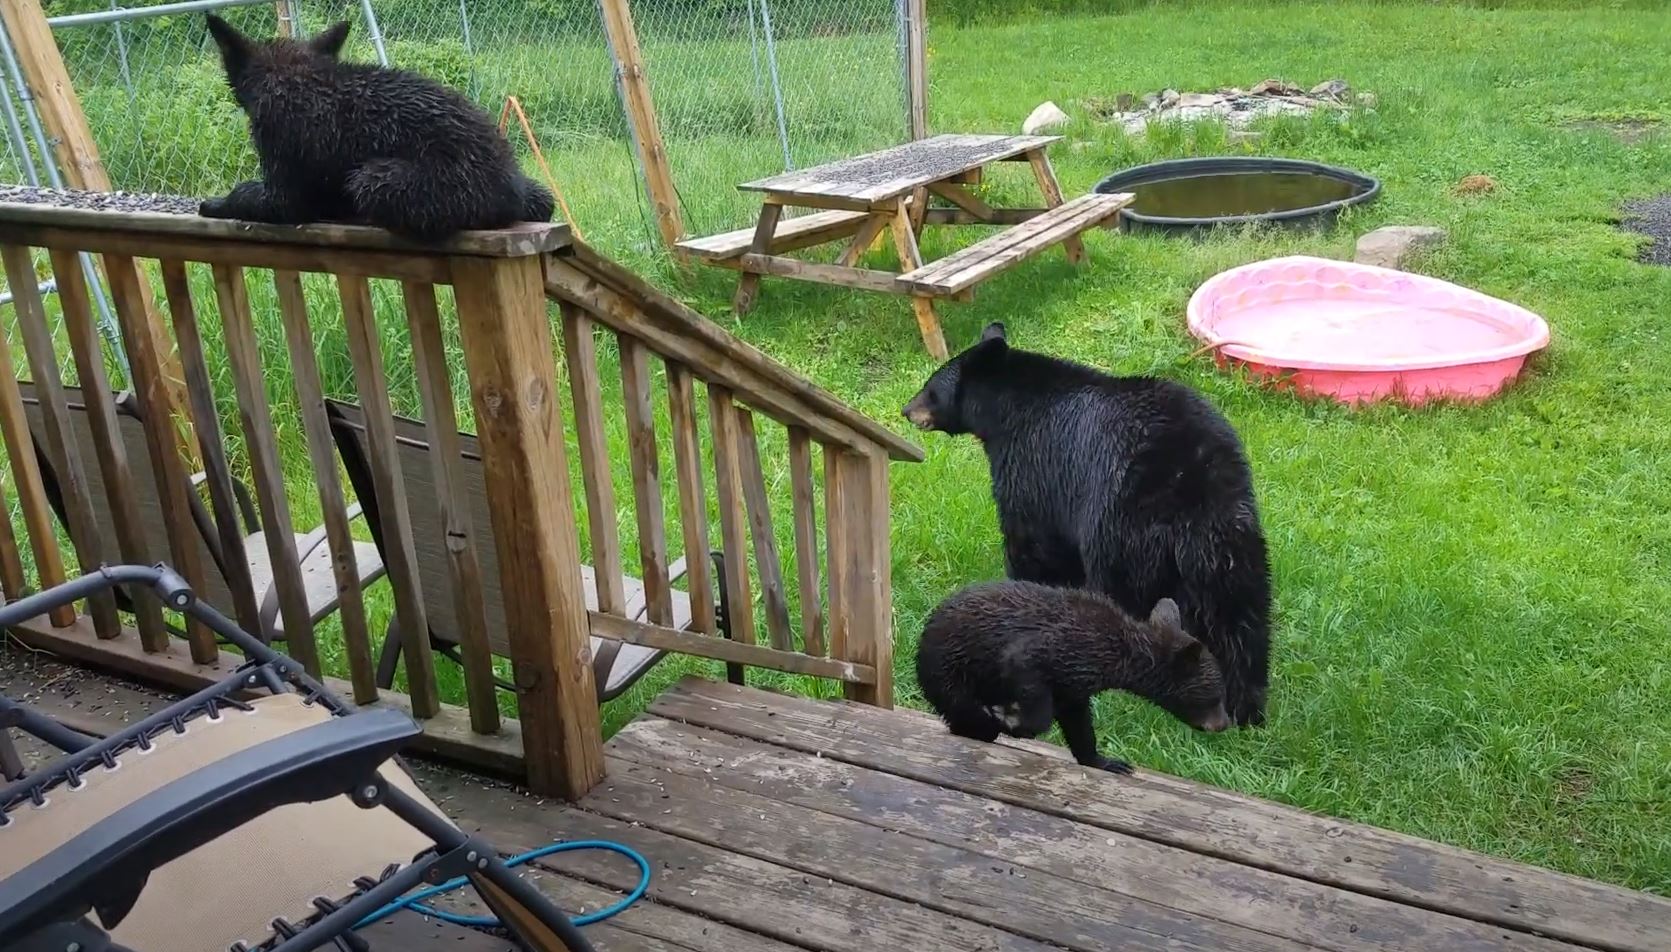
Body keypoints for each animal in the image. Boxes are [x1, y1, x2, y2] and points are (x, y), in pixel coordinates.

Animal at [198, 15, 554, 241]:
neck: (297, 78)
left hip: (371, 179)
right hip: (538, 191)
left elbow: (245, 194)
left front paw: (216, 203)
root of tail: (510, 192)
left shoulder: (282, 193)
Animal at [902, 322, 1273, 726]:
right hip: (1232, 536)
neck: (1006, 411)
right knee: (1240, 617)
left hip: (1121, 526)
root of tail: (1191, 478)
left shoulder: (1034, 470)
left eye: (931, 387)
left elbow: (1033, 546)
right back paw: (1245, 706)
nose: (906, 409)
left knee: (1125, 598)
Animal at [915, 580, 1230, 773]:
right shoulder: (1059, 649)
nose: (1224, 723)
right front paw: (1010, 718)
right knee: (966, 709)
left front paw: (1105, 761)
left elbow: (1078, 721)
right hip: (951, 673)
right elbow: (1025, 673)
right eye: (1217, 695)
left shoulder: (1074, 683)